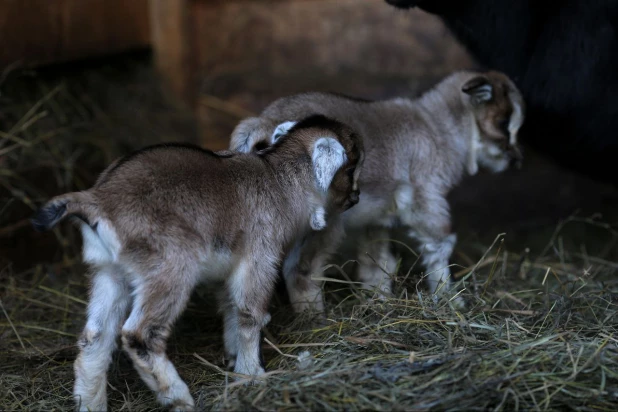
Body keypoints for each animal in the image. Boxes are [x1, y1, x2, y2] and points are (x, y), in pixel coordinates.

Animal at [32, 116, 360, 412]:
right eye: (352, 167)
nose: (356, 197)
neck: (278, 180)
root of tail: (98, 200)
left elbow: (230, 308)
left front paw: (234, 358)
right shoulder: (260, 257)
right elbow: (250, 315)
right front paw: (251, 376)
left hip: (109, 272)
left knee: (95, 338)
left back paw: (91, 403)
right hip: (169, 267)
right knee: (139, 333)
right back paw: (178, 397)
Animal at [229, 71, 524, 310]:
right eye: (503, 123)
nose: (516, 160)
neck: (438, 129)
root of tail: (262, 122)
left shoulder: (377, 219)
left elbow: (378, 262)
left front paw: (380, 299)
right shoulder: (426, 196)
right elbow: (440, 244)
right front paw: (451, 299)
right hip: (323, 223)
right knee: (300, 271)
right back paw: (315, 321)